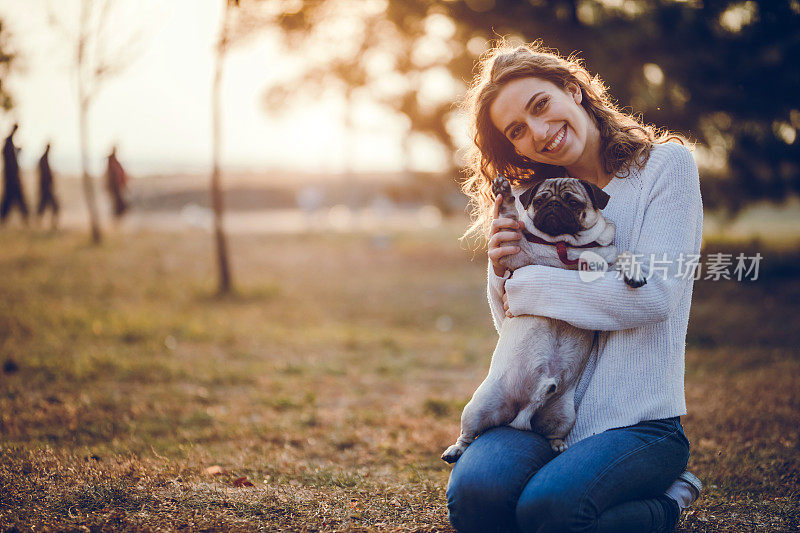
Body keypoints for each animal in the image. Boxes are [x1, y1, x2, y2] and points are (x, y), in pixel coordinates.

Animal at [440, 177, 648, 464]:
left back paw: (558, 446)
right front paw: (504, 194)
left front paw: (630, 270)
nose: (554, 205)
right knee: (469, 433)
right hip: (478, 407)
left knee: (549, 433)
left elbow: (622, 254)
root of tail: (522, 412)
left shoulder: (607, 260)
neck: (563, 246)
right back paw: (455, 450)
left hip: (564, 415)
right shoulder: (515, 254)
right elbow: (509, 215)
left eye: (573, 202)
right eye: (540, 200)